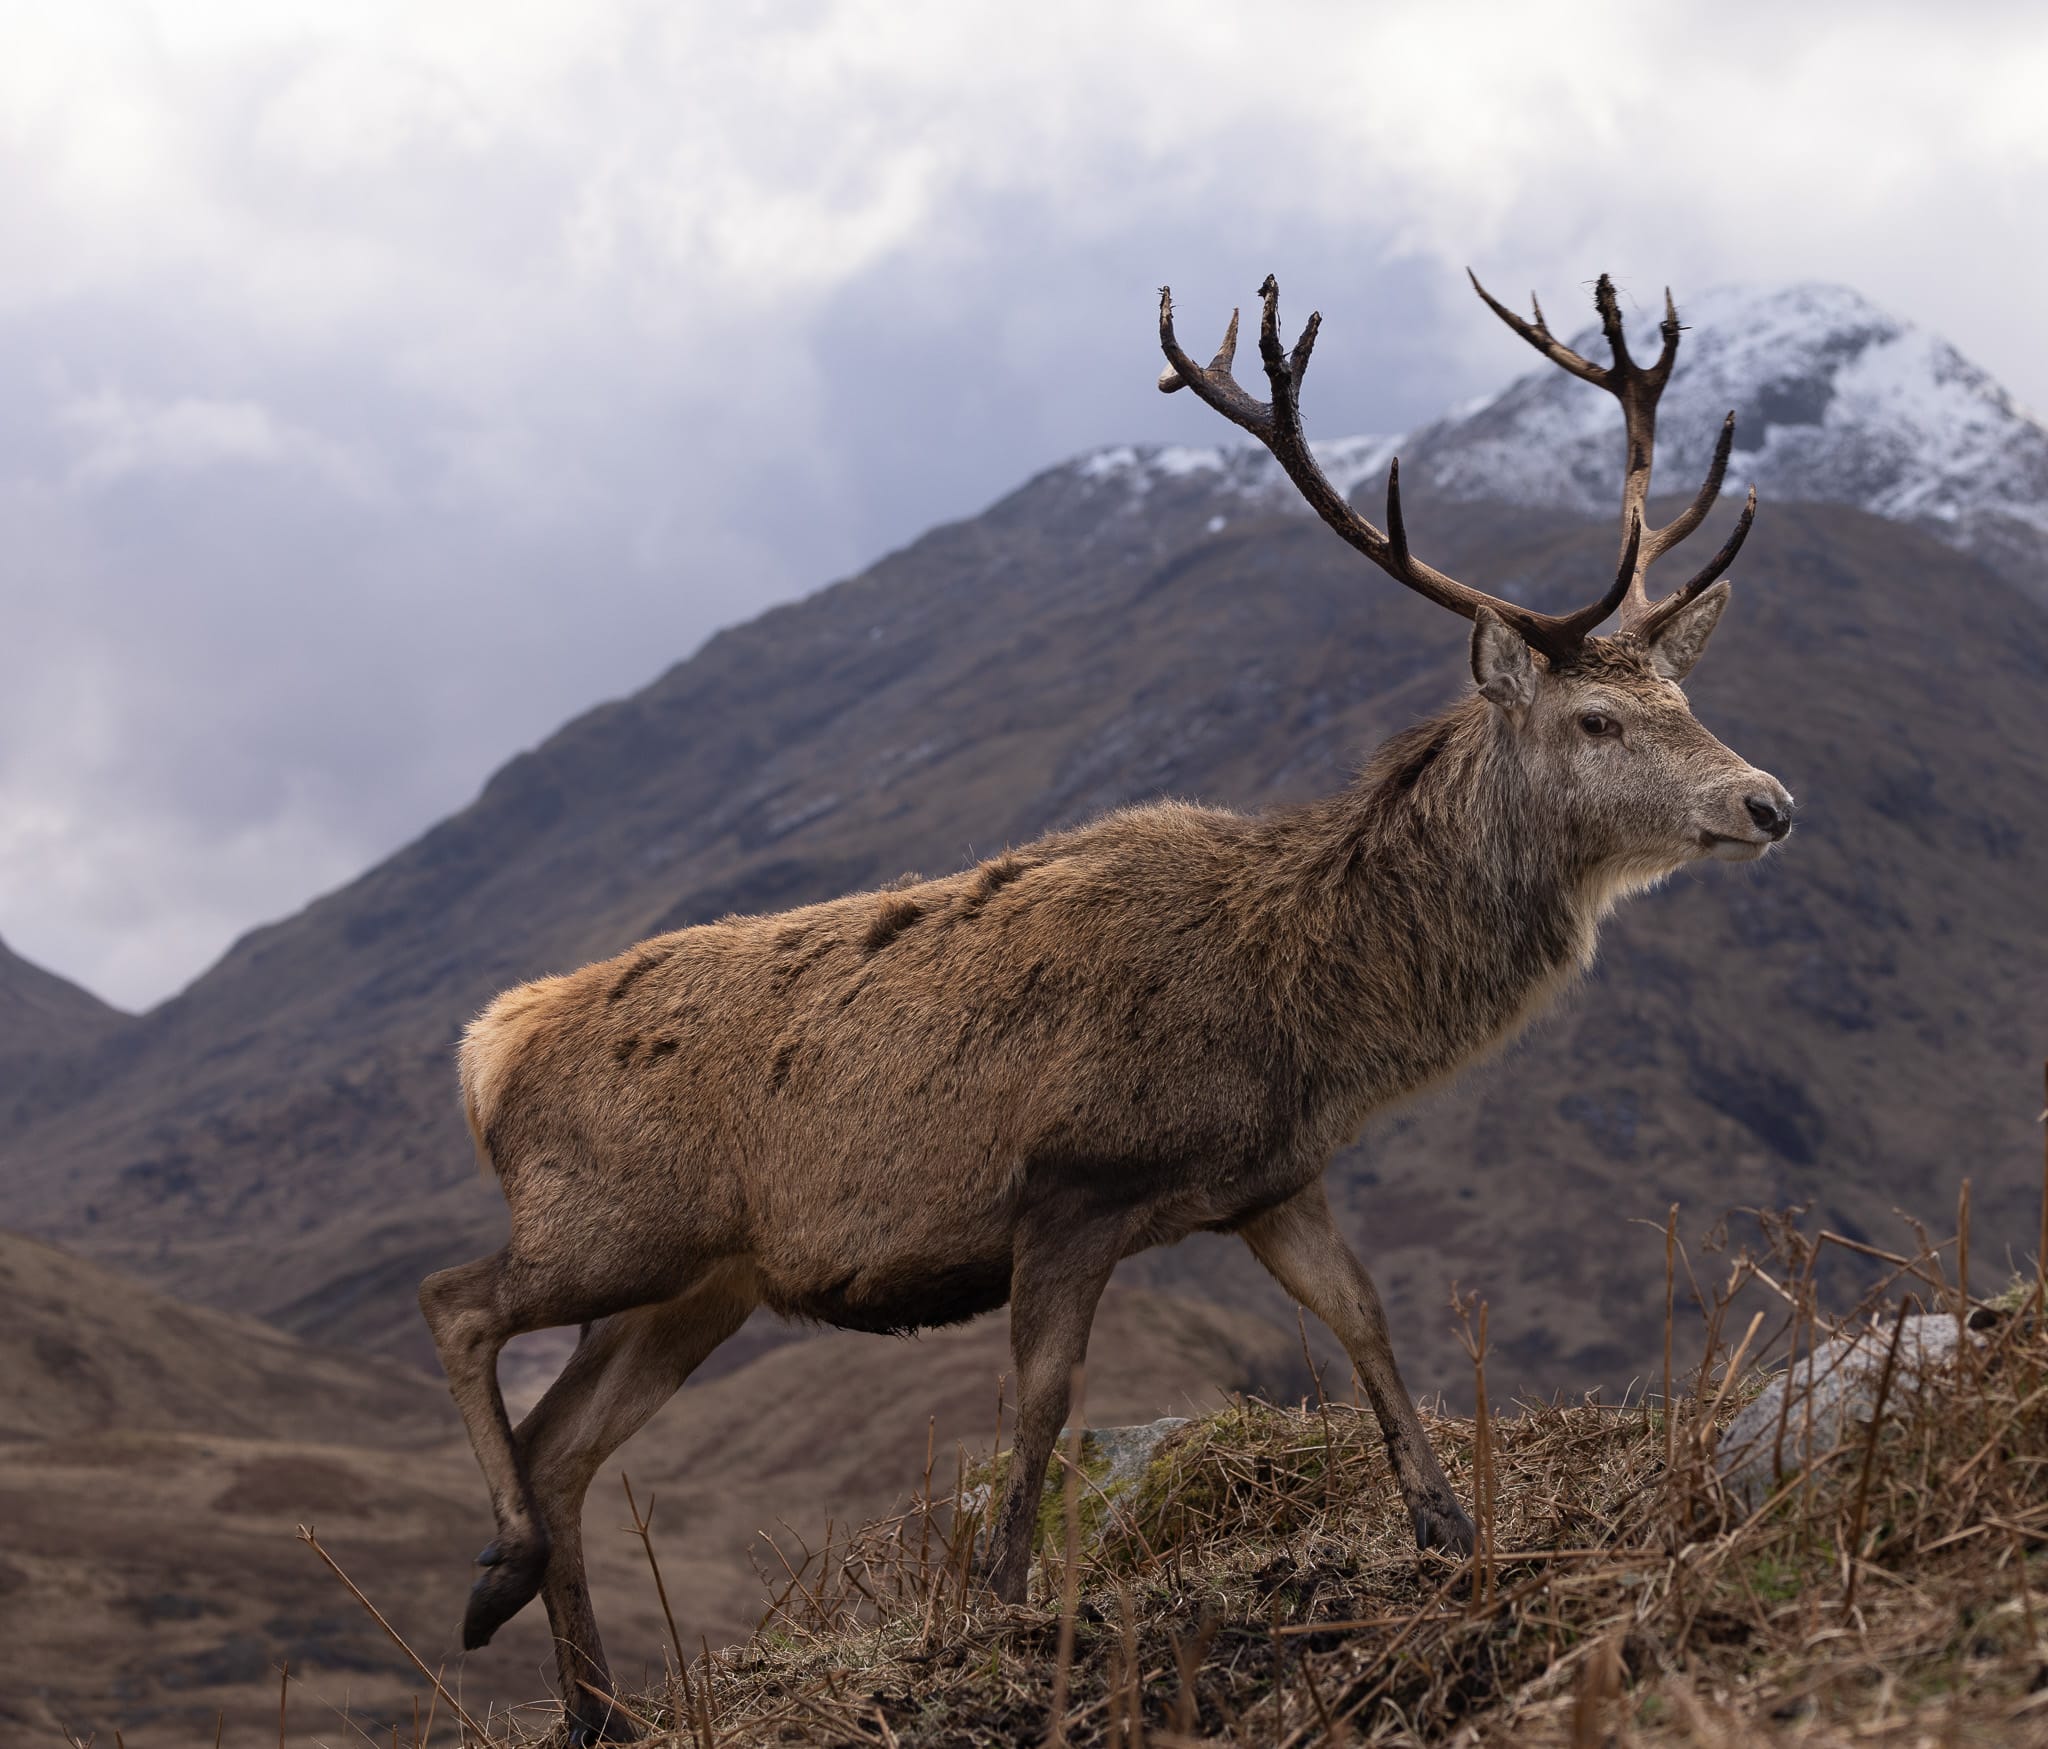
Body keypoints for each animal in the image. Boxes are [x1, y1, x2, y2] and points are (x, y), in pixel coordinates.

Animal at [420, 268, 1792, 1743]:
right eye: (1596, 721)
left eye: (1683, 693)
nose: (1767, 801)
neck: (1301, 1009)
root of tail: (488, 1048)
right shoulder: (1071, 1183)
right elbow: (1040, 1400)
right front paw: (1000, 1611)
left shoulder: (1270, 1180)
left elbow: (1364, 1319)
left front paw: (1448, 1528)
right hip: (612, 1221)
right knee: (458, 1303)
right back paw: (496, 1572)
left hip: (696, 1283)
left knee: (562, 1445)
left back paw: (591, 1699)